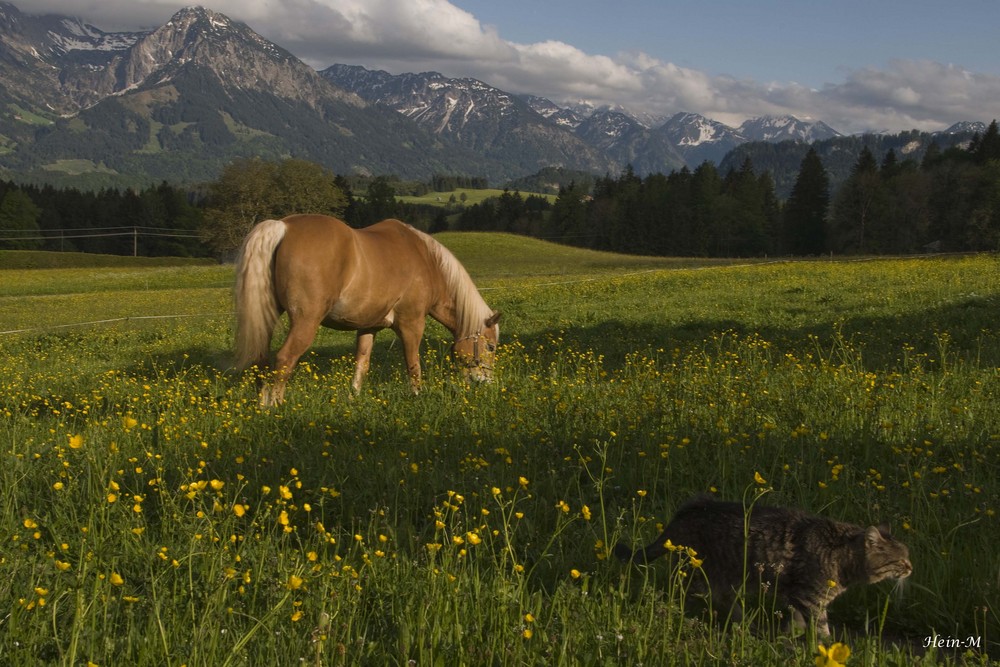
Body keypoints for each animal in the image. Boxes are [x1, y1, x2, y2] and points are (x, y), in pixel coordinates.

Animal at [234, 214, 500, 404]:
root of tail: (283, 227)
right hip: (305, 322)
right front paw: (417, 395)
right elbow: (413, 363)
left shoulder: (368, 327)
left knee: (261, 360)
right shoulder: (412, 323)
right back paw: (275, 405)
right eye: (491, 347)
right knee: (284, 359)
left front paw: (354, 397)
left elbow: (362, 364)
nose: (485, 382)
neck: (426, 261)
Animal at [608, 496, 916, 636]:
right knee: (681, 595)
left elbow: (797, 621)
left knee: (725, 599)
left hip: (729, 578)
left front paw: (789, 635)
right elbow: (821, 628)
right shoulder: (810, 597)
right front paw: (826, 646)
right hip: (699, 575)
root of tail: (685, 511)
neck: (843, 559)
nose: (911, 569)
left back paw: (747, 624)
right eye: (901, 560)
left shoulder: (795, 596)